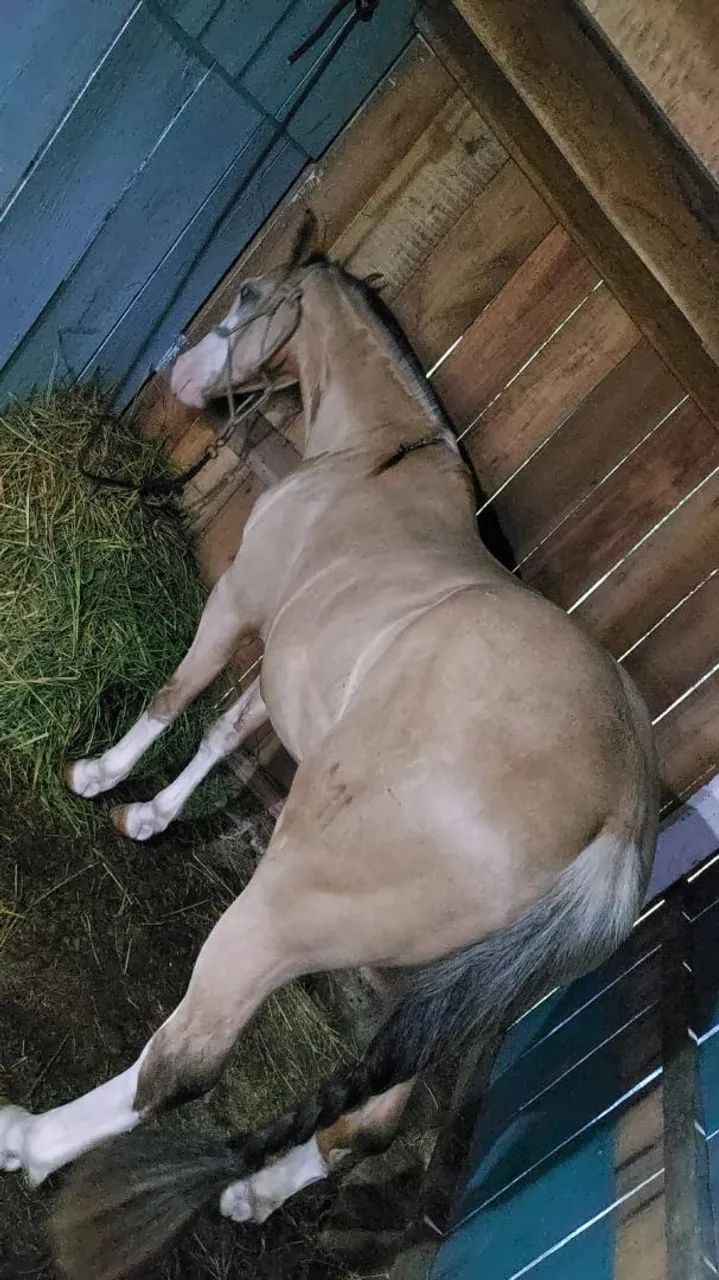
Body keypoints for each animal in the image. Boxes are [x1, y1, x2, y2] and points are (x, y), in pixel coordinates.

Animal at [0, 221, 659, 1279]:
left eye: (249, 296)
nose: (184, 374)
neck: (373, 460)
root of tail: (618, 821)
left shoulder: (239, 604)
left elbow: (178, 695)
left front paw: (100, 777)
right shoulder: (288, 662)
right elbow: (225, 728)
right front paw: (148, 816)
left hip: (280, 919)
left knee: (180, 1064)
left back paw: (29, 1139)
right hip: (439, 1000)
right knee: (371, 1122)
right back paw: (252, 1194)